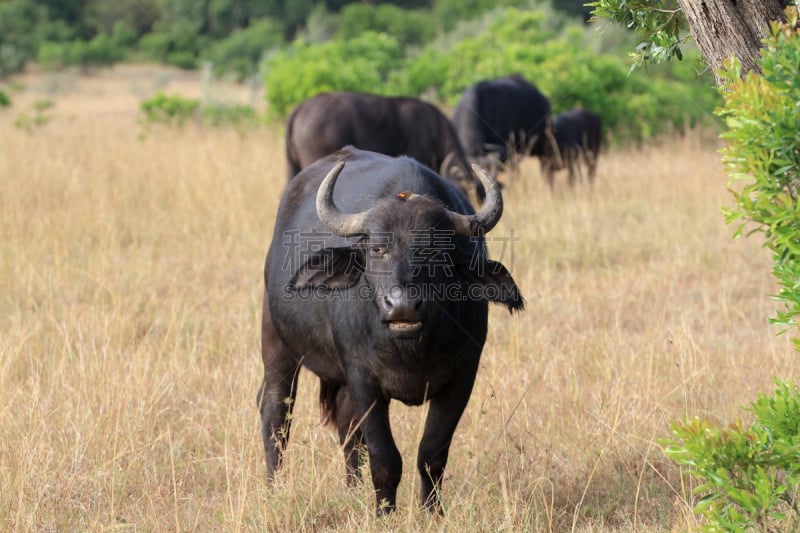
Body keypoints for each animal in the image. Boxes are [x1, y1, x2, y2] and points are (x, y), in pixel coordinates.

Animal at [258, 147, 524, 516]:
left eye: (435, 250)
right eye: (377, 249)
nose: (402, 306)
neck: (411, 348)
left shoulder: (462, 378)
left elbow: (431, 454)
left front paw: (432, 512)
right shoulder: (363, 378)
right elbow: (385, 458)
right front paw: (385, 513)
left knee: (346, 425)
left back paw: (352, 490)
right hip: (276, 345)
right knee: (276, 413)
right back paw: (275, 487)